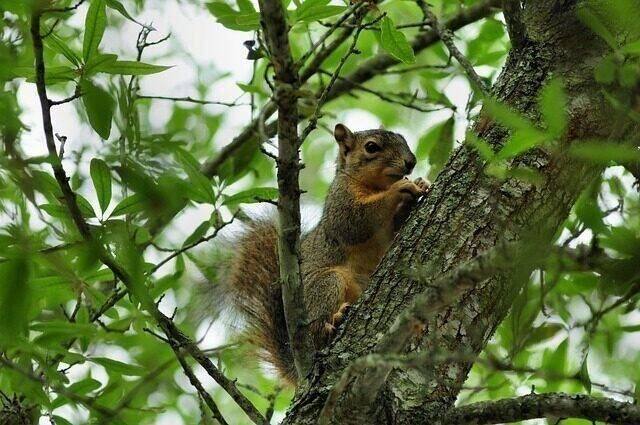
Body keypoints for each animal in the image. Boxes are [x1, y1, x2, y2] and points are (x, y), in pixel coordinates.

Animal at [221, 124, 429, 384]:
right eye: (371, 147)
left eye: (403, 140)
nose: (411, 162)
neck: (374, 186)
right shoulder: (340, 201)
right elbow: (354, 221)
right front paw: (400, 189)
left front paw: (419, 186)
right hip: (326, 283)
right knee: (319, 328)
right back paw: (331, 325)